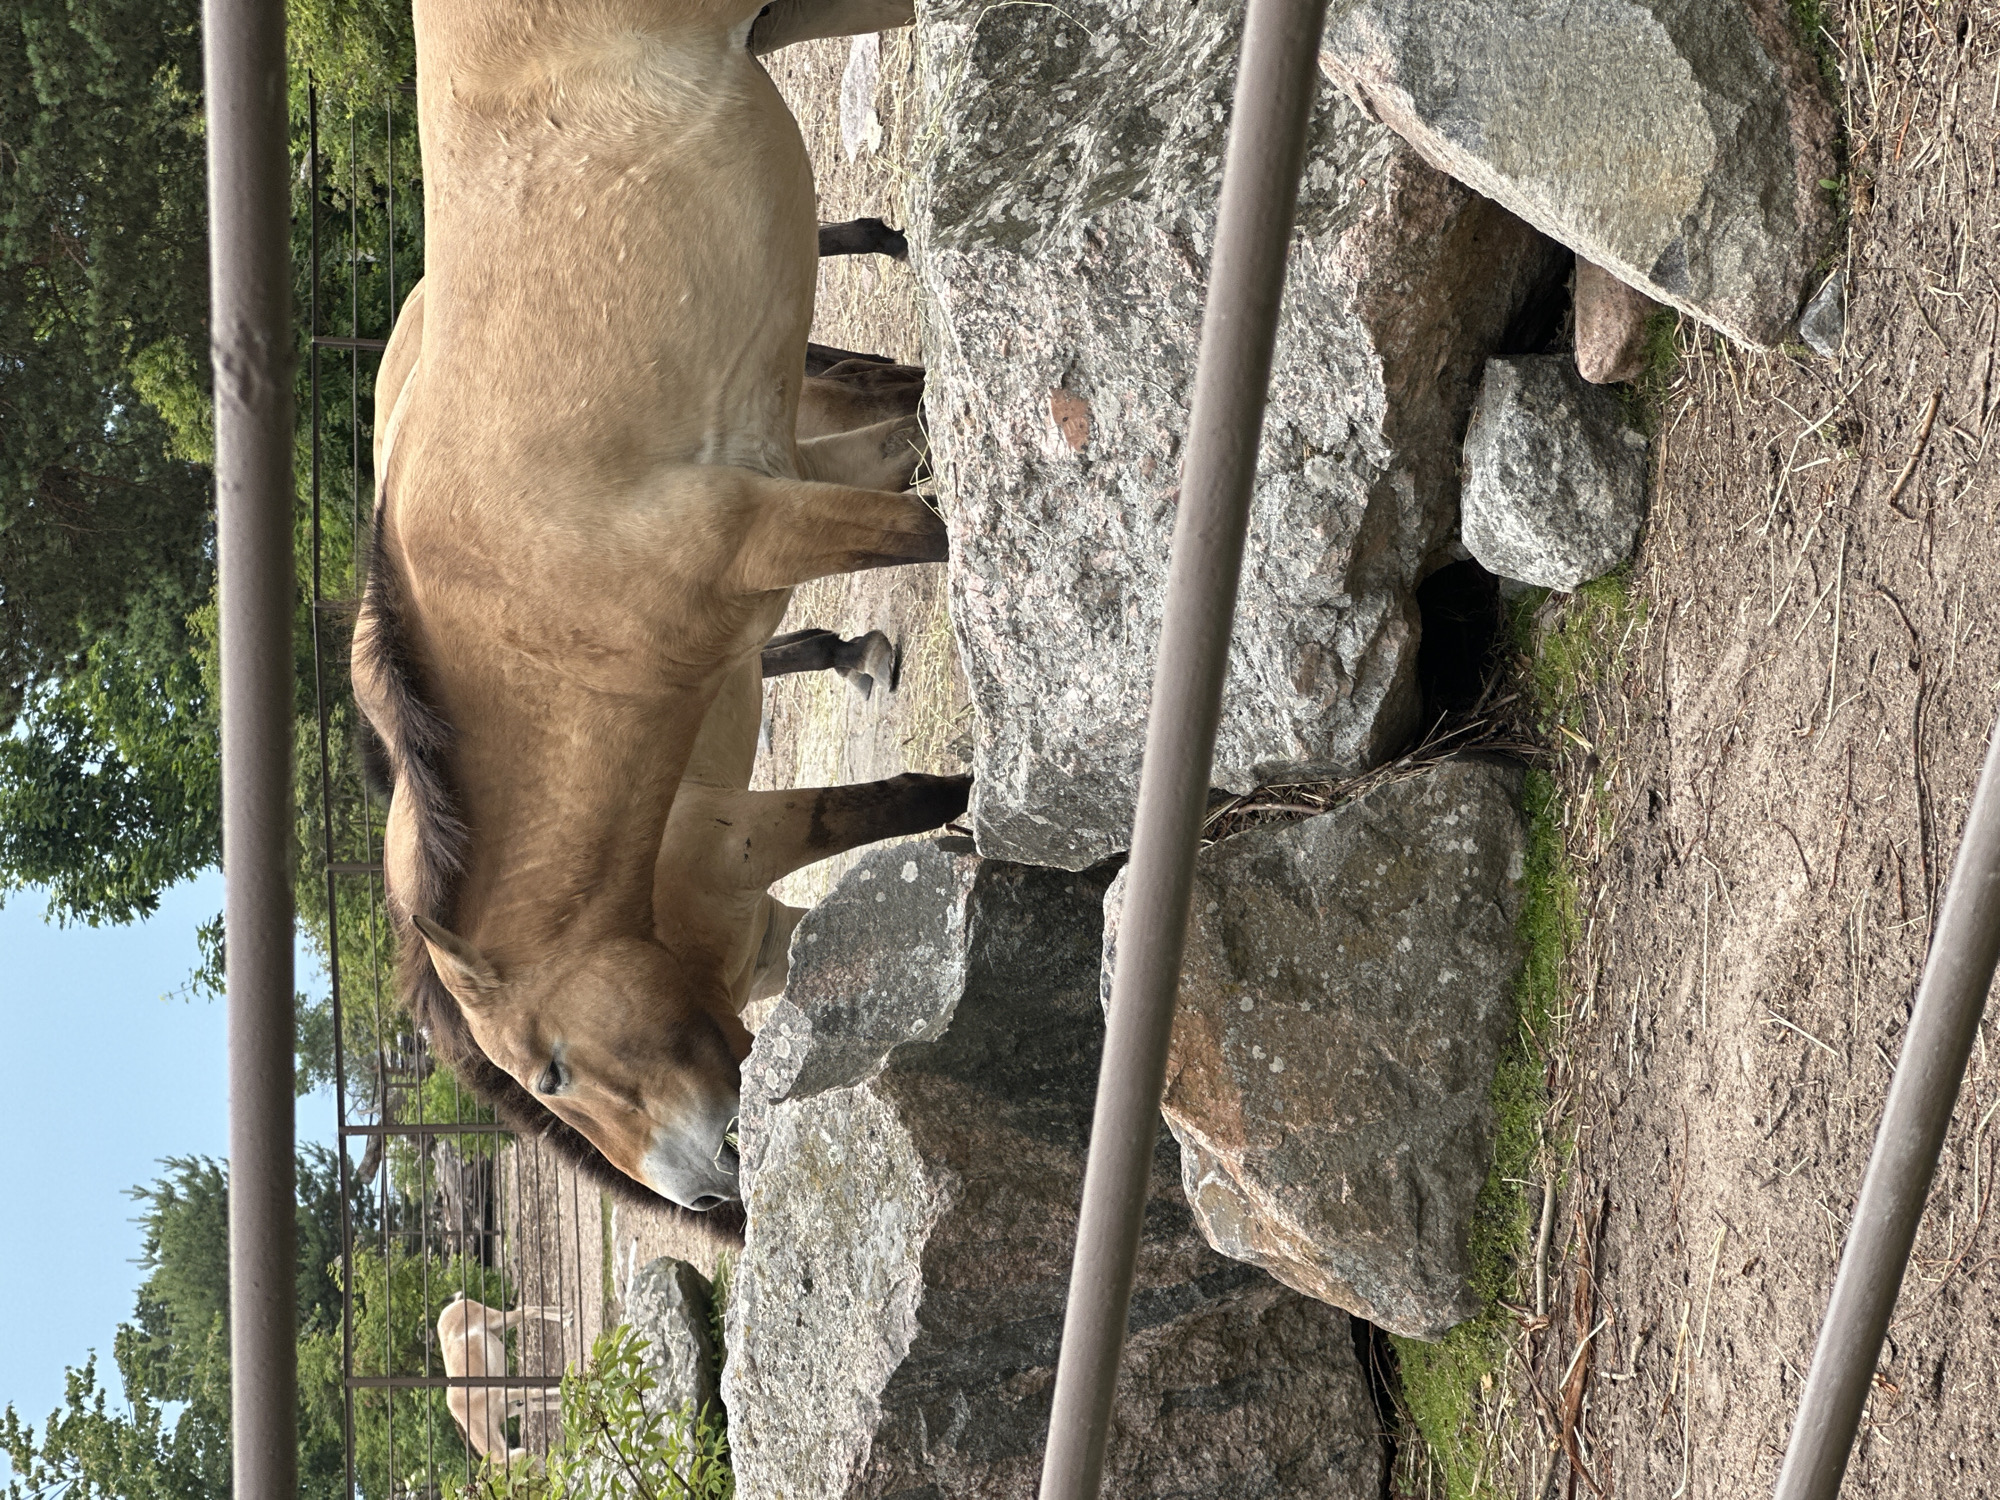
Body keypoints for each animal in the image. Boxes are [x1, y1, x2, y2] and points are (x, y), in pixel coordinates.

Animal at [353, 0, 963, 1216]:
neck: (535, 609)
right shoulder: (800, 478)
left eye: (549, 1072)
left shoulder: (768, 530)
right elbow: (916, 446)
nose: (704, 1188)